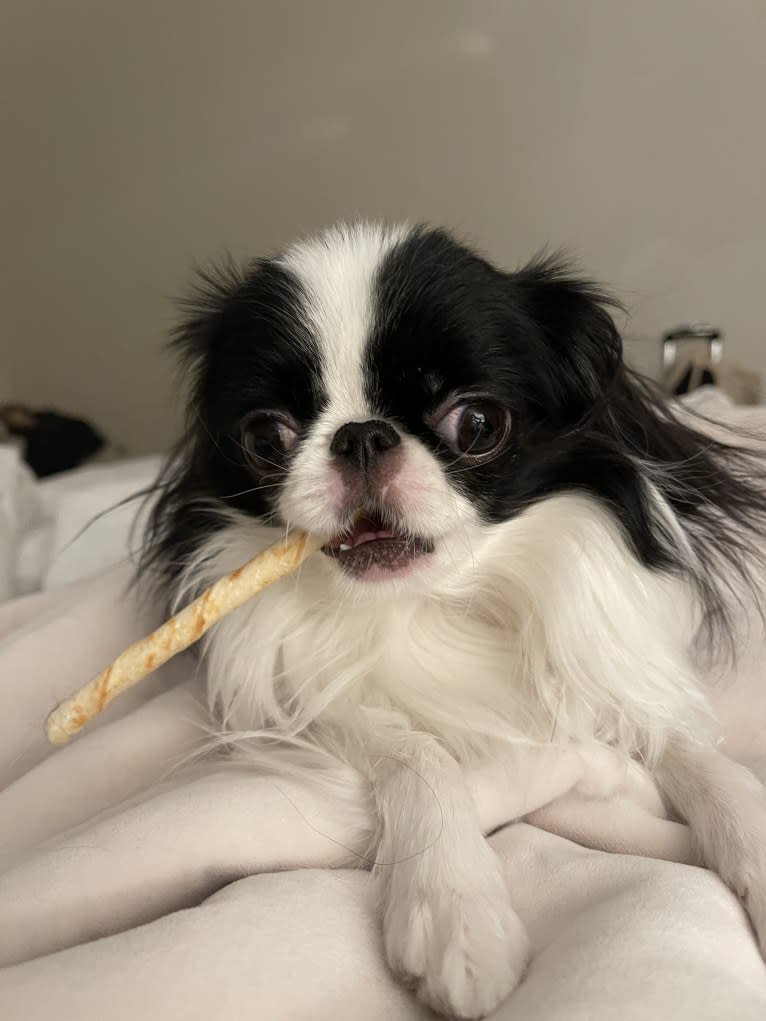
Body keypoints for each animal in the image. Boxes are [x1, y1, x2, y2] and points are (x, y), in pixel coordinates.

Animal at [140, 219, 766, 1016]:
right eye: (264, 437)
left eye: (476, 423)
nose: (361, 434)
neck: (436, 605)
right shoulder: (305, 700)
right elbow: (419, 752)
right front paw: (457, 915)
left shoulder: (617, 681)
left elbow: (704, 762)